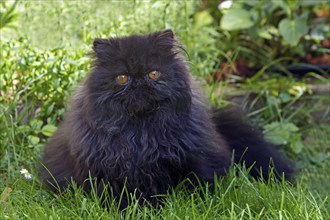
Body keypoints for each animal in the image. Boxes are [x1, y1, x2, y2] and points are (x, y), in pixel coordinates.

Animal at [40, 29, 294, 208]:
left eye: (153, 73)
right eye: (122, 78)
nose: (138, 81)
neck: (142, 132)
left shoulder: (192, 159)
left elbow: (198, 185)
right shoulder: (107, 172)